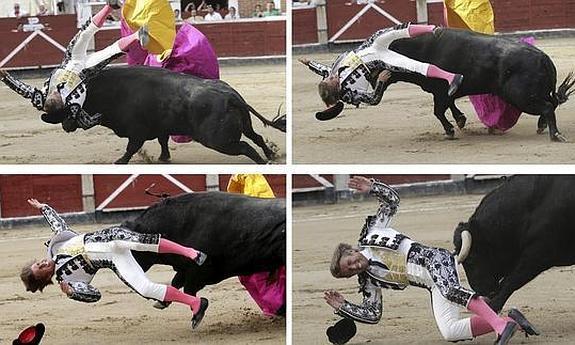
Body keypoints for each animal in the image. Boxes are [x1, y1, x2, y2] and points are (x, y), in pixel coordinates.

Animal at [45, 67, 288, 165]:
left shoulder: (137, 131)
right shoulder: (159, 128)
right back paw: (271, 156)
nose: (65, 126)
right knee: (256, 137)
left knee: (246, 147)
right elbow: (163, 140)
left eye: (70, 107)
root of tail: (230, 96)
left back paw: (263, 162)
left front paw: (120, 161)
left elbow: (131, 148)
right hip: (244, 124)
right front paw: (164, 157)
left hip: (219, 141)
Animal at [121, 191, 286, 310]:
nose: (124, 276)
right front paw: (162, 302)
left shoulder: (200, 271)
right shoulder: (186, 267)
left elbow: (187, 289)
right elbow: (175, 282)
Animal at [372, 27, 572, 140]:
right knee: (552, 104)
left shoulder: (441, 91)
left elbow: (438, 111)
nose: (373, 82)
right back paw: (542, 126)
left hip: (521, 97)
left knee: (548, 107)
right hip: (535, 93)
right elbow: (449, 105)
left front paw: (450, 131)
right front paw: (460, 121)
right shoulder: (446, 90)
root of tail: (543, 57)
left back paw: (555, 135)